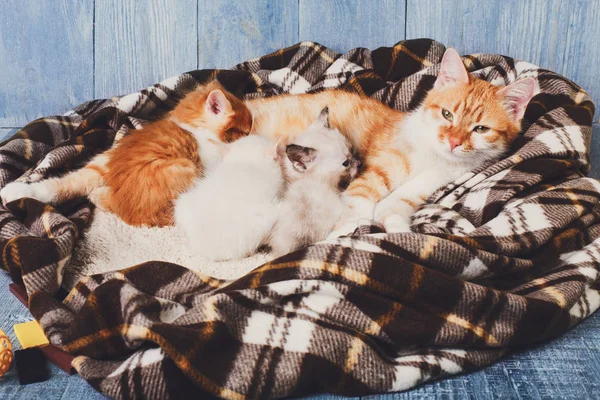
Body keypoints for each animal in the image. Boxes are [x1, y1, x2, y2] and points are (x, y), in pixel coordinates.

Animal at [1, 81, 252, 227]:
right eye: (245, 128)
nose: (252, 132)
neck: (189, 125)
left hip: (103, 161)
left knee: (66, 186)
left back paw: (14, 192)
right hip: (185, 169)